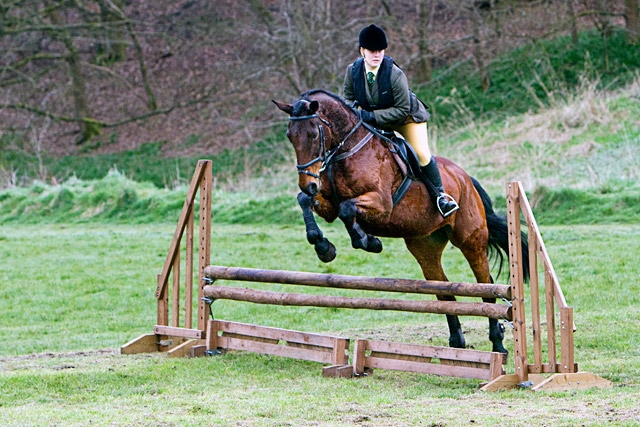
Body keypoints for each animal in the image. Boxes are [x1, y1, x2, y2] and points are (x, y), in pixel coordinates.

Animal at [272, 89, 528, 354]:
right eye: (290, 136)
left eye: (313, 134)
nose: (309, 183)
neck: (348, 151)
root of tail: (465, 178)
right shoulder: (328, 205)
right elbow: (307, 201)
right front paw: (325, 248)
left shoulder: (382, 204)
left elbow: (347, 209)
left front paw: (368, 241)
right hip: (425, 245)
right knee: (444, 292)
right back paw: (456, 343)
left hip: (471, 240)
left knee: (486, 285)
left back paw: (498, 344)